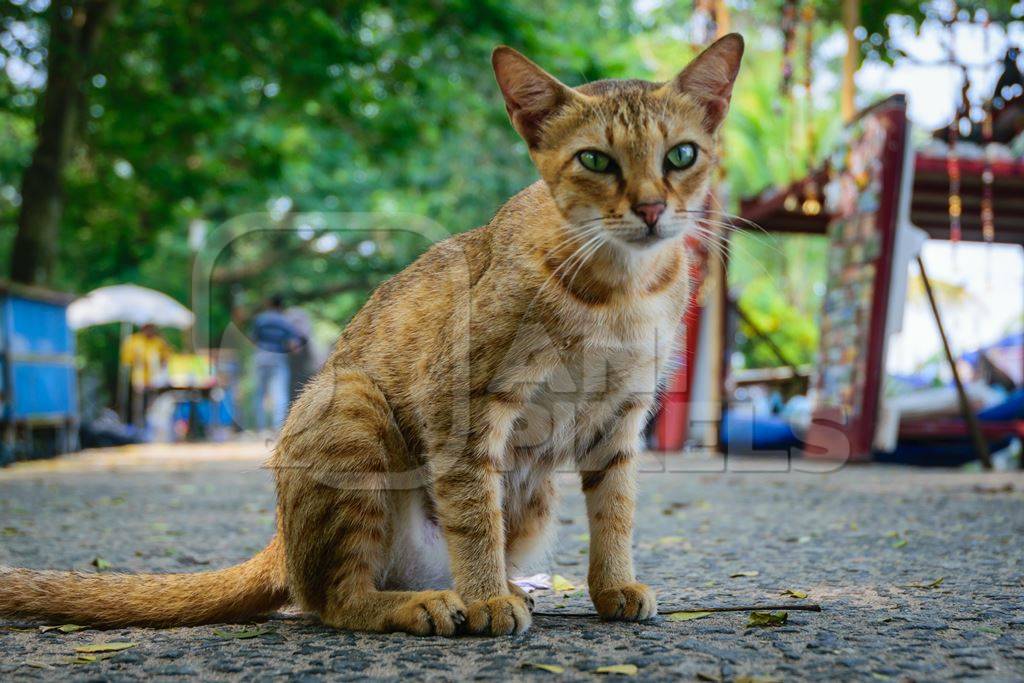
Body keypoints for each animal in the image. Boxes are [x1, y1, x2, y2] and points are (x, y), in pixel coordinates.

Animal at [0, 34, 741, 638]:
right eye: (595, 160)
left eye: (681, 155)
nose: (652, 208)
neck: (621, 291)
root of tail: (280, 539)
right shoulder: (463, 404)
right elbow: (475, 513)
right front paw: (487, 596)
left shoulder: (622, 418)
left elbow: (615, 513)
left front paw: (612, 586)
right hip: (352, 404)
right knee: (334, 597)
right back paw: (436, 602)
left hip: (528, 500)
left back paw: (501, 586)